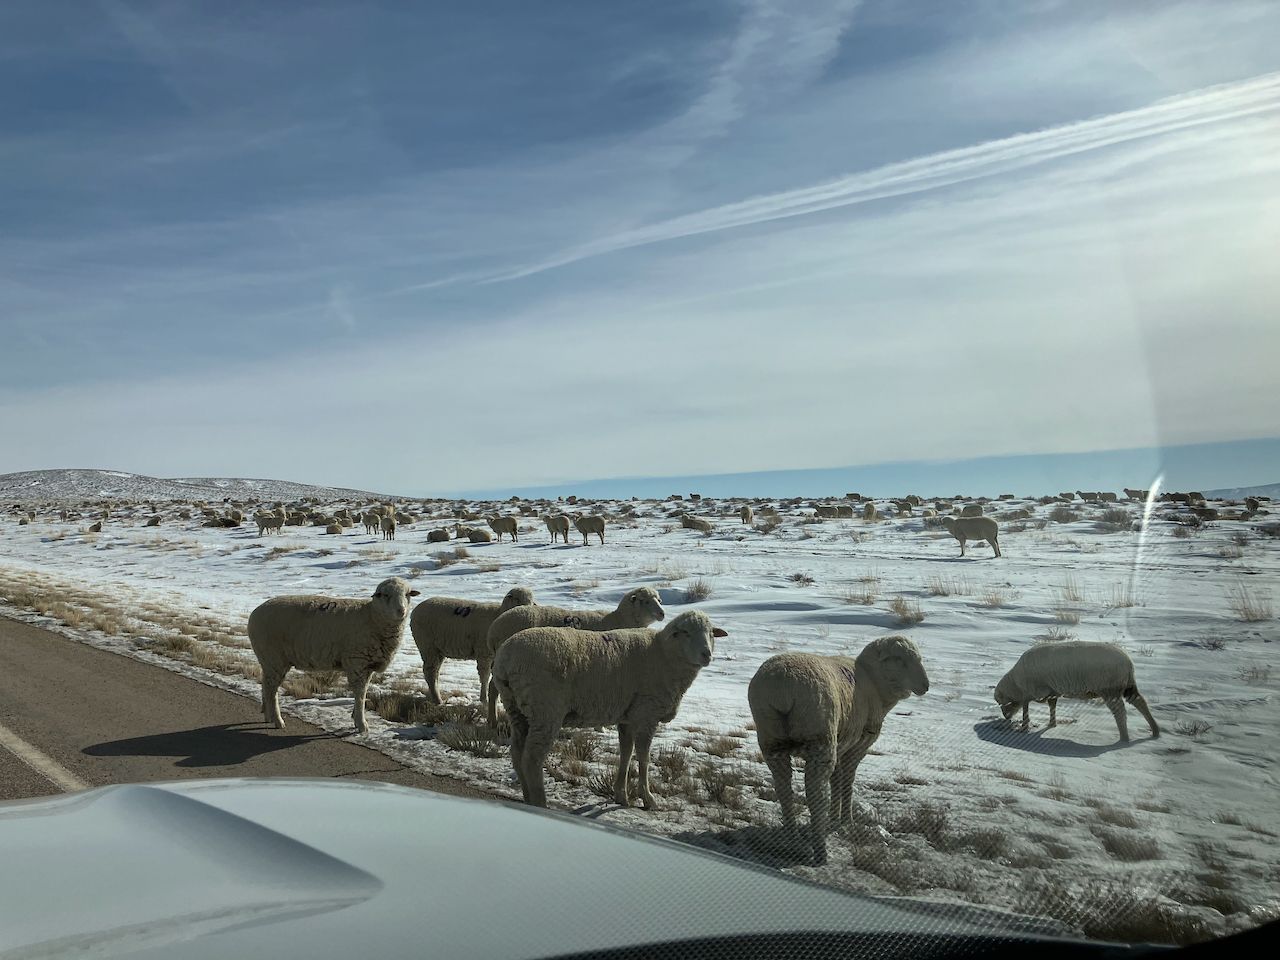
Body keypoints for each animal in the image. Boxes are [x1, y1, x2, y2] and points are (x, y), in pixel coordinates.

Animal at [247, 577, 421, 734]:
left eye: (408, 594)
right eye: (385, 595)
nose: (401, 611)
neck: (371, 617)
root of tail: (254, 613)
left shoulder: (368, 665)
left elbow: (363, 692)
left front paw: (356, 717)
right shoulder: (357, 662)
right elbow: (360, 693)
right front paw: (361, 724)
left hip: (267, 659)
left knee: (265, 684)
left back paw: (267, 715)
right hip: (274, 657)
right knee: (271, 690)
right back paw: (278, 720)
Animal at [484, 586, 667, 725]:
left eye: (659, 600)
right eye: (645, 601)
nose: (662, 614)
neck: (620, 620)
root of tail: (494, 628)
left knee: (493, 686)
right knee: (493, 688)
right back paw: (493, 721)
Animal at [491, 610, 725, 809]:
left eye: (711, 633)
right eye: (685, 633)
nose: (707, 655)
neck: (665, 656)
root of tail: (504, 659)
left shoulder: (627, 717)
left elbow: (626, 754)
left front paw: (621, 795)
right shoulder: (646, 714)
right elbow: (644, 758)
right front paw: (648, 799)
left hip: (517, 709)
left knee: (517, 752)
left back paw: (527, 796)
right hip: (545, 710)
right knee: (532, 758)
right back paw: (540, 802)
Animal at [749, 637, 930, 864]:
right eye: (901, 660)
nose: (925, 685)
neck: (874, 683)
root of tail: (783, 687)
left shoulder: (841, 744)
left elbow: (837, 780)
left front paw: (836, 818)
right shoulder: (858, 744)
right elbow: (847, 781)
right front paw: (845, 820)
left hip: (771, 738)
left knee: (783, 788)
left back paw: (791, 836)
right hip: (821, 740)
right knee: (816, 794)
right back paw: (820, 852)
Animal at [994, 641, 1159, 742]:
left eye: (1001, 703)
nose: (1005, 717)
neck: (1015, 683)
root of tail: (1128, 663)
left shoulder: (1032, 691)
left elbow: (1025, 707)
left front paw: (1024, 727)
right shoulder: (1052, 691)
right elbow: (1052, 706)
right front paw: (1052, 724)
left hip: (1109, 688)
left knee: (1120, 711)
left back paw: (1124, 738)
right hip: (1128, 685)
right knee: (1140, 702)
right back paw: (1155, 730)